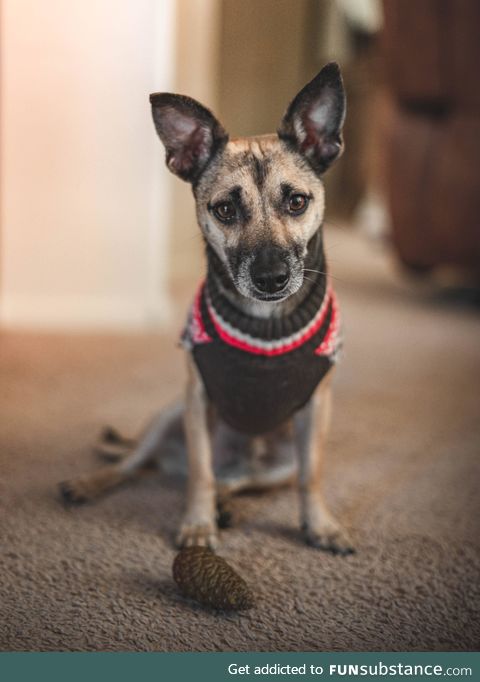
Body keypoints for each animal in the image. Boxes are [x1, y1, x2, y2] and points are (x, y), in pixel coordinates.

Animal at [59, 62, 352, 552]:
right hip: (169, 416)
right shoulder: (197, 402)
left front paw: (322, 525)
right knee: (137, 464)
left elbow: (311, 475)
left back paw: (229, 504)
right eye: (225, 210)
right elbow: (200, 473)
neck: (266, 323)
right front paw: (197, 525)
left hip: (280, 458)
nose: (271, 278)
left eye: (297, 202)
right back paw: (90, 484)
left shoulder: (316, 409)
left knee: (236, 481)